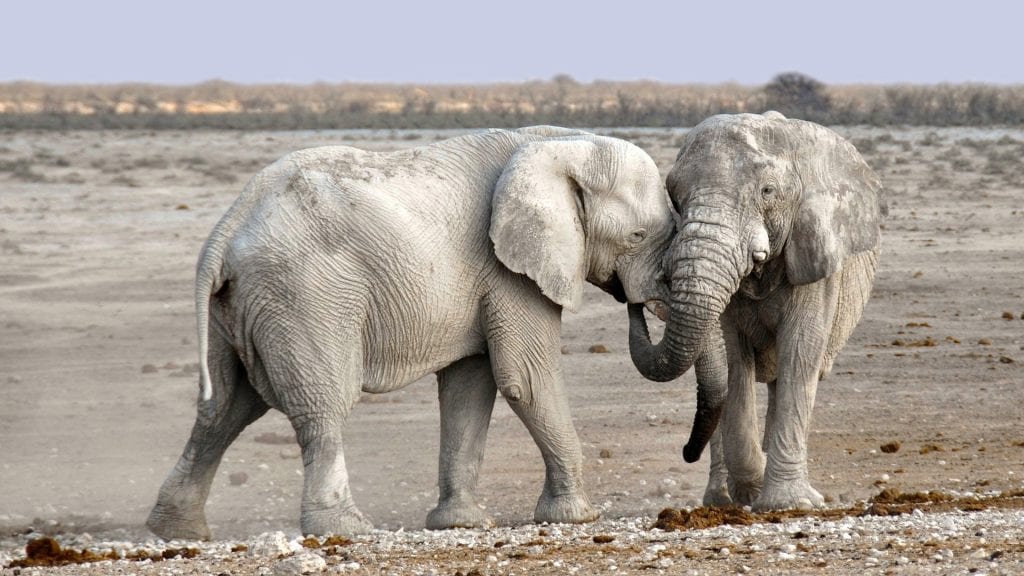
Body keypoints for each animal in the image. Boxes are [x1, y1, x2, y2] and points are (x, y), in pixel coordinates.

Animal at [142, 125, 671, 537]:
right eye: (637, 236)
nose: (636, 304)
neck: (562, 143)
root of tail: (226, 228)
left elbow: (469, 387)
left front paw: (460, 524)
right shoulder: (509, 270)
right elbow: (525, 378)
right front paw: (578, 517)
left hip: (239, 306)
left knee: (224, 408)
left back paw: (177, 531)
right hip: (304, 295)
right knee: (321, 405)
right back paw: (347, 529)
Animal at [626, 111, 884, 506]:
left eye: (768, 192)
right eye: (675, 196)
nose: (636, 301)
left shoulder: (814, 255)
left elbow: (801, 353)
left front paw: (790, 503)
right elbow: (733, 360)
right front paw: (754, 488)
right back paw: (722, 499)